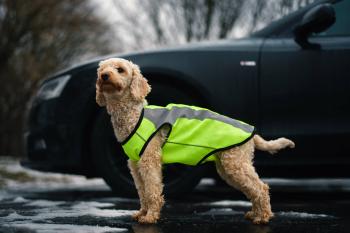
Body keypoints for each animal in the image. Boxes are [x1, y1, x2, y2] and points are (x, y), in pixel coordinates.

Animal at [95, 57, 296, 225]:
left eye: (120, 69)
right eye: (102, 69)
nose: (104, 76)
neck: (134, 115)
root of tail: (252, 134)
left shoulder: (149, 161)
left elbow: (152, 191)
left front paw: (150, 217)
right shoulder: (135, 164)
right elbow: (142, 191)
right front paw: (142, 213)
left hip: (236, 163)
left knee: (261, 188)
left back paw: (263, 217)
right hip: (228, 167)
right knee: (252, 189)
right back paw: (255, 214)